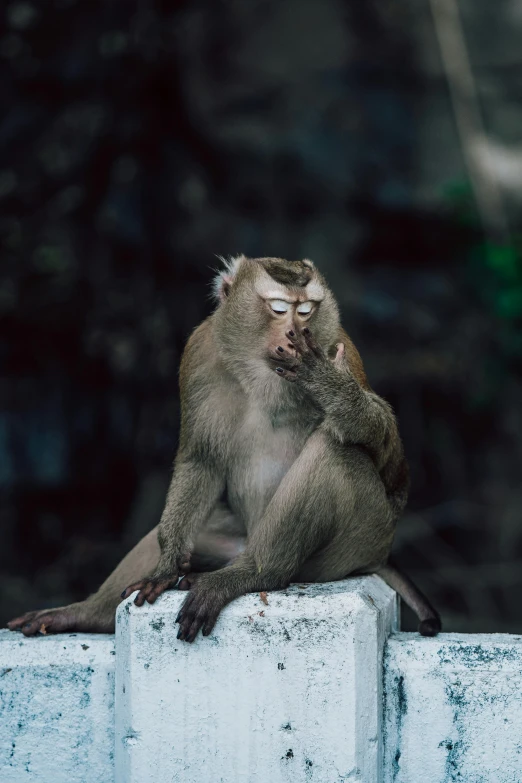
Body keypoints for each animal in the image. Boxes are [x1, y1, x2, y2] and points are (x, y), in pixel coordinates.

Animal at [8, 258, 438, 644]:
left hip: (357, 542)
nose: (295, 332)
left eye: (306, 310)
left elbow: (391, 462)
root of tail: (379, 555)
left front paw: (328, 383)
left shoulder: (340, 345)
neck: (262, 371)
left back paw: (256, 574)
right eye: (278, 308)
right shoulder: (200, 351)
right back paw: (84, 613)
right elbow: (200, 458)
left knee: (336, 453)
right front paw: (166, 566)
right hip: (232, 538)